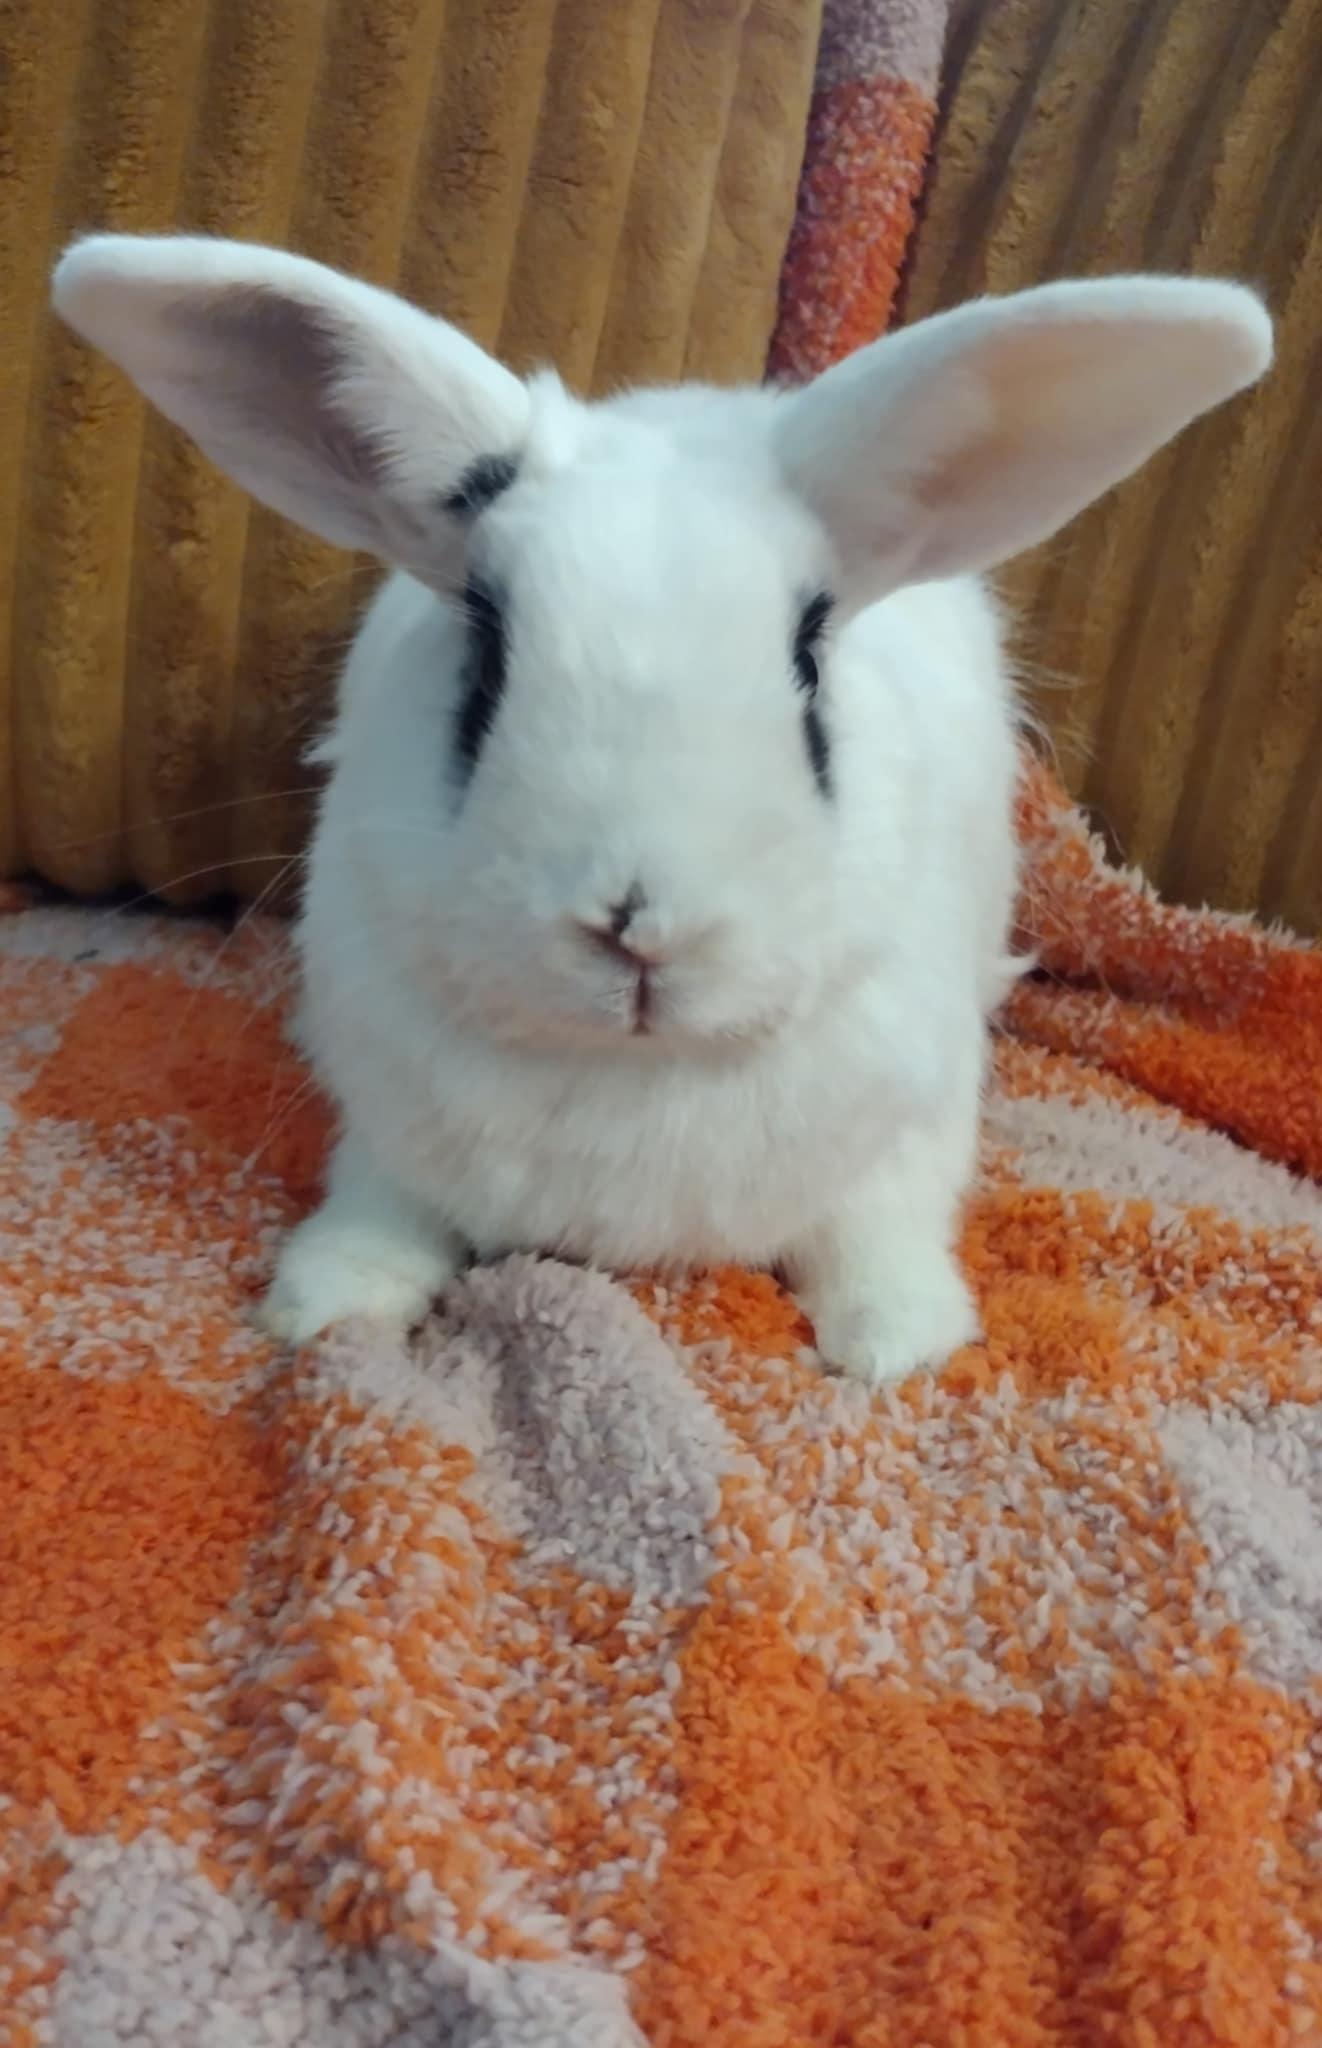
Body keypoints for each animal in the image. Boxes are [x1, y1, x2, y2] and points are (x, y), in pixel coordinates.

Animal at [52, 236, 1272, 1384]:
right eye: (484, 660)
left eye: (808, 668)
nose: (637, 923)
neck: (636, 1071)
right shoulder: (386, 1132)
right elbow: (378, 1208)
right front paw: (327, 1302)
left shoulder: (909, 1130)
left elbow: (877, 1230)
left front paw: (897, 1344)